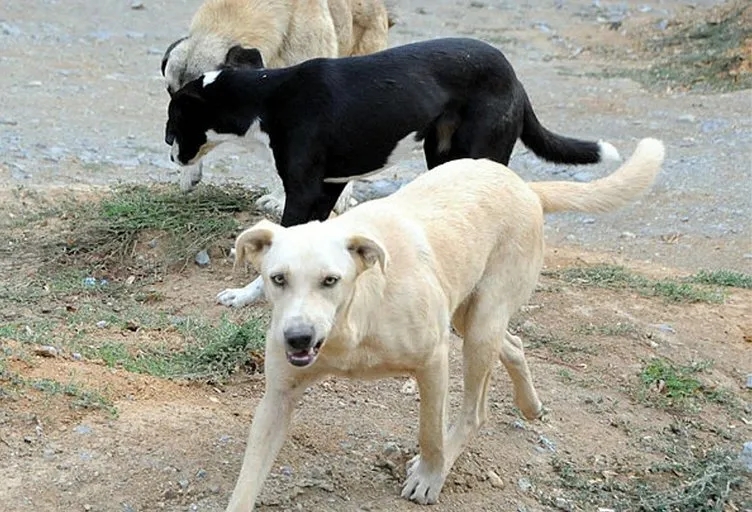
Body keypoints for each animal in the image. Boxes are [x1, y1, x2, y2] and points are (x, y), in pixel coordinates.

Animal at [164, 37, 622, 309]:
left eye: (174, 120)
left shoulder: (303, 192)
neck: (269, 97)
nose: (171, 154)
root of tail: (514, 77)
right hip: (444, 158)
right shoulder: (327, 189)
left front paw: (246, 295)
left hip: (478, 156)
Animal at [221, 138, 665, 510]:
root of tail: (525, 187)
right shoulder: (277, 399)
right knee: (514, 344)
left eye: (331, 280)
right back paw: (530, 404)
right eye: (277, 279)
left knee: (475, 410)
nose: (298, 338)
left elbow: (430, 433)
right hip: (469, 315)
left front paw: (429, 475)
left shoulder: (433, 360)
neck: (353, 321)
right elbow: (244, 485)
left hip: (480, 324)